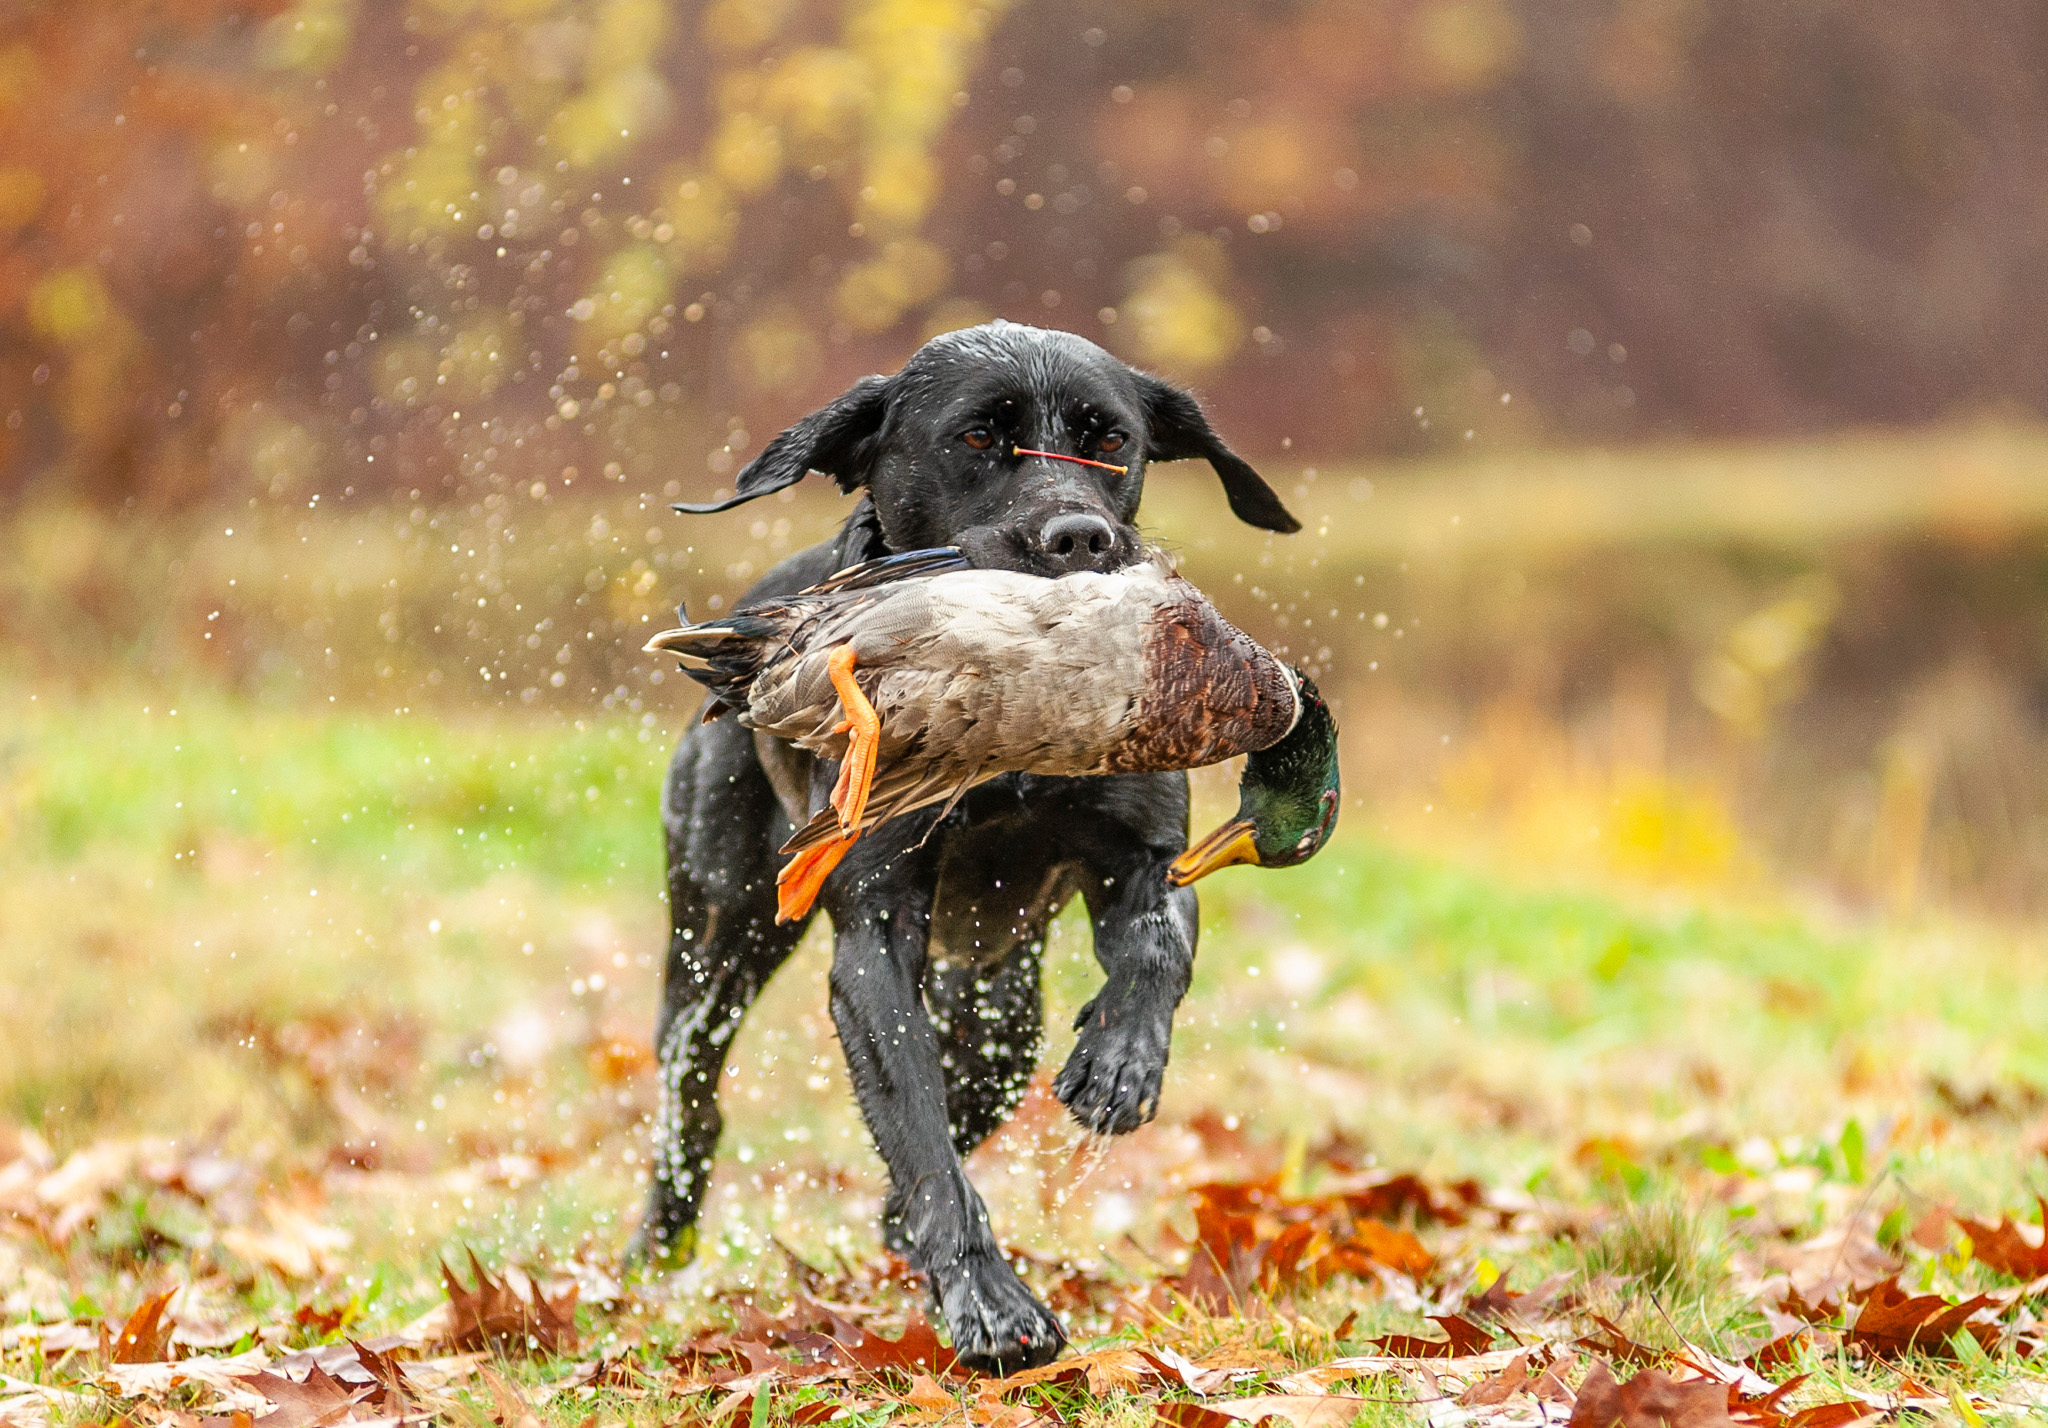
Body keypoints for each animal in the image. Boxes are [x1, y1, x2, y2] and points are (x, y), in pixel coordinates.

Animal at [630, 323, 1294, 1368]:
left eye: (1113, 440)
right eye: (978, 436)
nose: (1080, 538)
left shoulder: (1146, 856)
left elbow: (1160, 949)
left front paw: (1121, 1062)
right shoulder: (873, 935)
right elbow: (919, 1134)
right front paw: (988, 1302)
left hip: (999, 1011)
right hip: (719, 938)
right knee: (691, 1087)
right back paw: (658, 1243)